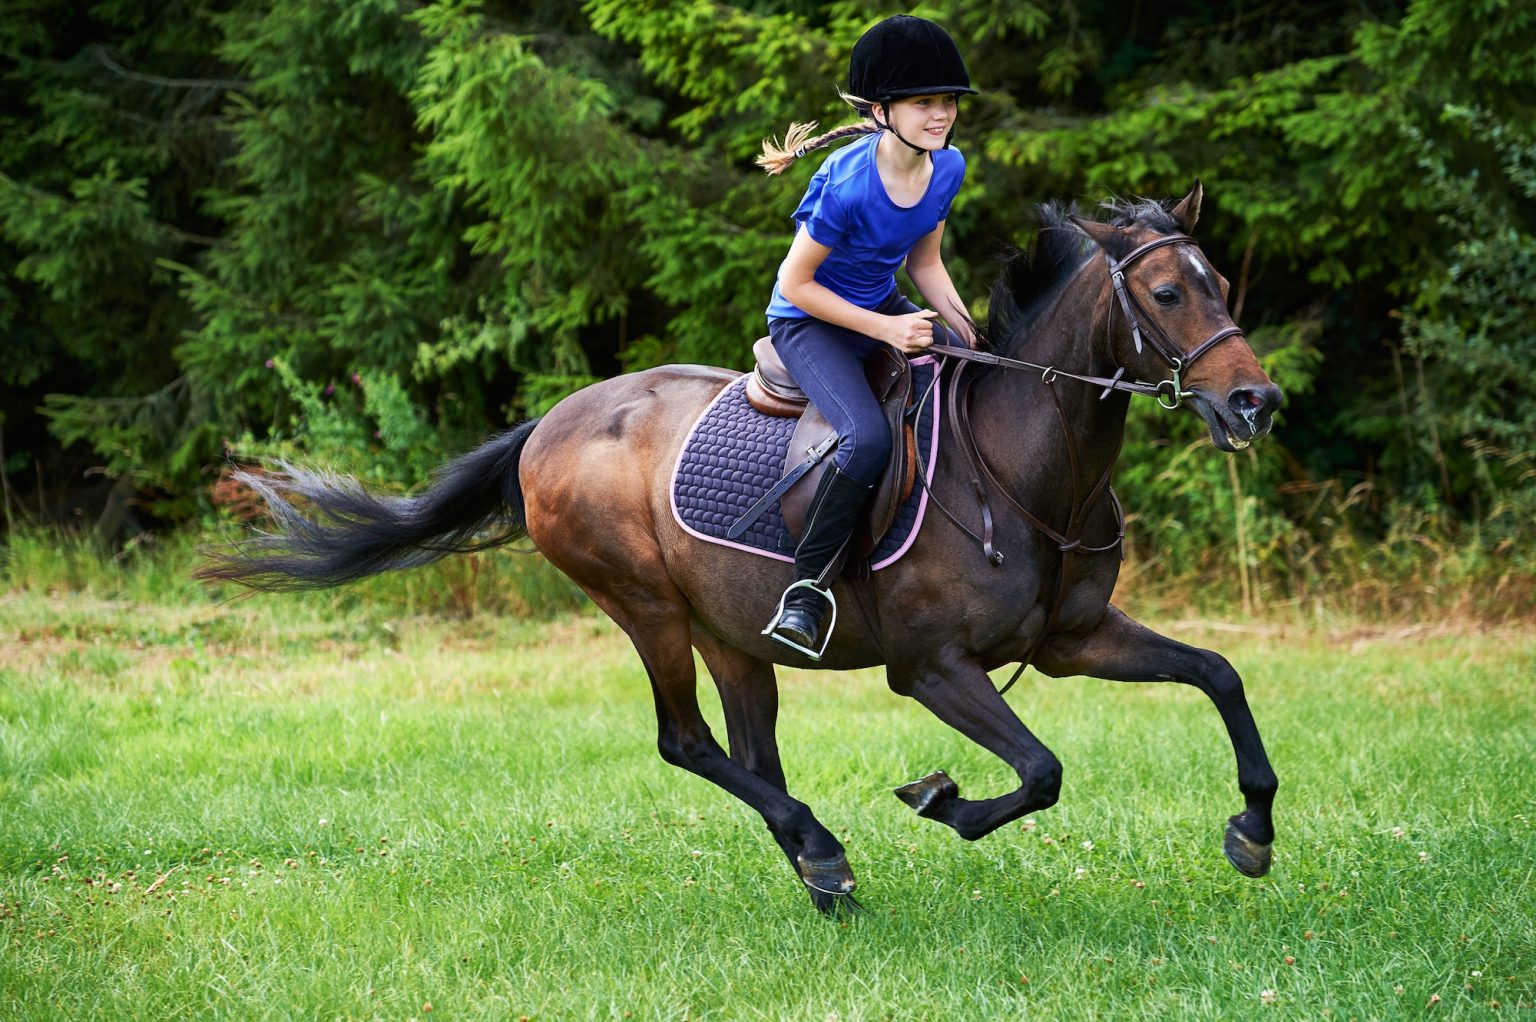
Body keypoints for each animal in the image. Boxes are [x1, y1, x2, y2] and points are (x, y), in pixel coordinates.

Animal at [200, 182, 1283, 914]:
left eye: (1223, 282)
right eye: (1165, 294)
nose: (1256, 402)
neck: (1024, 467)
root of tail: (551, 422)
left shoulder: (1073, 638)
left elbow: (1220, 675)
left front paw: (1254, 829)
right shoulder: (931, 667)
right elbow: (1043, 770)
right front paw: (941, 800)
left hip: (732, 630)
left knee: (750, 750)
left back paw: (820, 867)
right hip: (646, 606)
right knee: (687, 742)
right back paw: (823, 849)